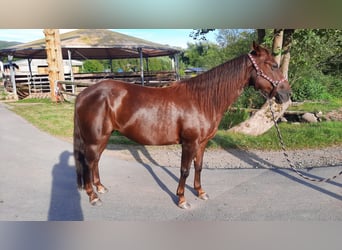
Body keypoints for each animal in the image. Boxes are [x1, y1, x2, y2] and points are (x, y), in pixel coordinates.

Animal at [73, 43, 290, 209]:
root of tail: (83, 94)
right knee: (88, 162)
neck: (202, 99)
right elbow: (184, 170)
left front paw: (200, 192)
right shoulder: (189, 143)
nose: (286, 94)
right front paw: (182, 199)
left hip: (104, 137)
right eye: (273, 65)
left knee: (95, 161)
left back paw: (100, 188)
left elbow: (199, 166)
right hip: (95, 139)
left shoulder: (201, 143)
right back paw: (93, 196)